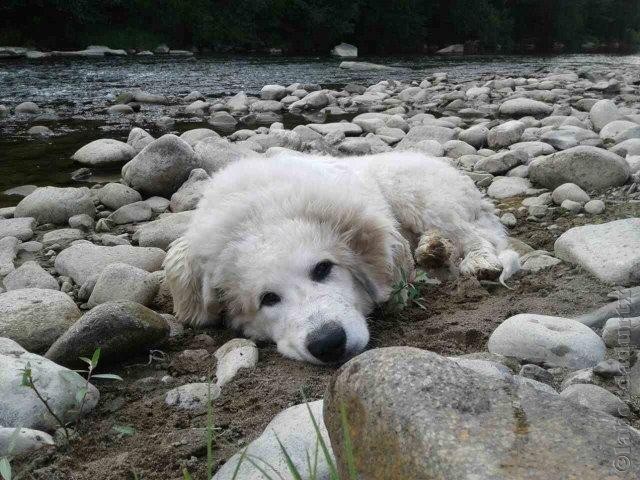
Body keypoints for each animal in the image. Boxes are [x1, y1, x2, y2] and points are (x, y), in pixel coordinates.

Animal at [162, 153, 516, 364]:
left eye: (323, 268)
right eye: (267, 299)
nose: (329, 344)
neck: (261, 212)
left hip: (420, 196)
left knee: (473, 235)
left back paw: (479, 262)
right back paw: (433, 250)